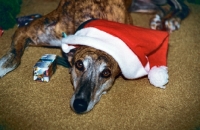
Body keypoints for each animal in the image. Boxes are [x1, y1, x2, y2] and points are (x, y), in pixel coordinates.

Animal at [0, 0, 189, 113]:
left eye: (106, 73)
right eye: (79, 65)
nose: (80, 105)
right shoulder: (27, 31)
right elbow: (13, 59)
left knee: (181, 5)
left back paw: (172, 20)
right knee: (161, 7)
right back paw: (159, 19)